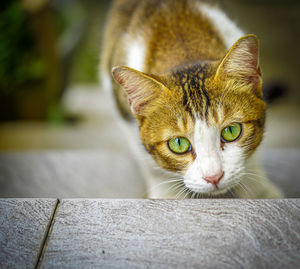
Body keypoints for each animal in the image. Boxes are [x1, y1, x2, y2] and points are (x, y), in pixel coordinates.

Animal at [101, 0, 284, 197]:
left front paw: (258, 190)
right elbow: (151, 166)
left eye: (231, 131)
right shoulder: (123, 113)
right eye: (178, 143)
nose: (214, 177)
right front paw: (166, 194)